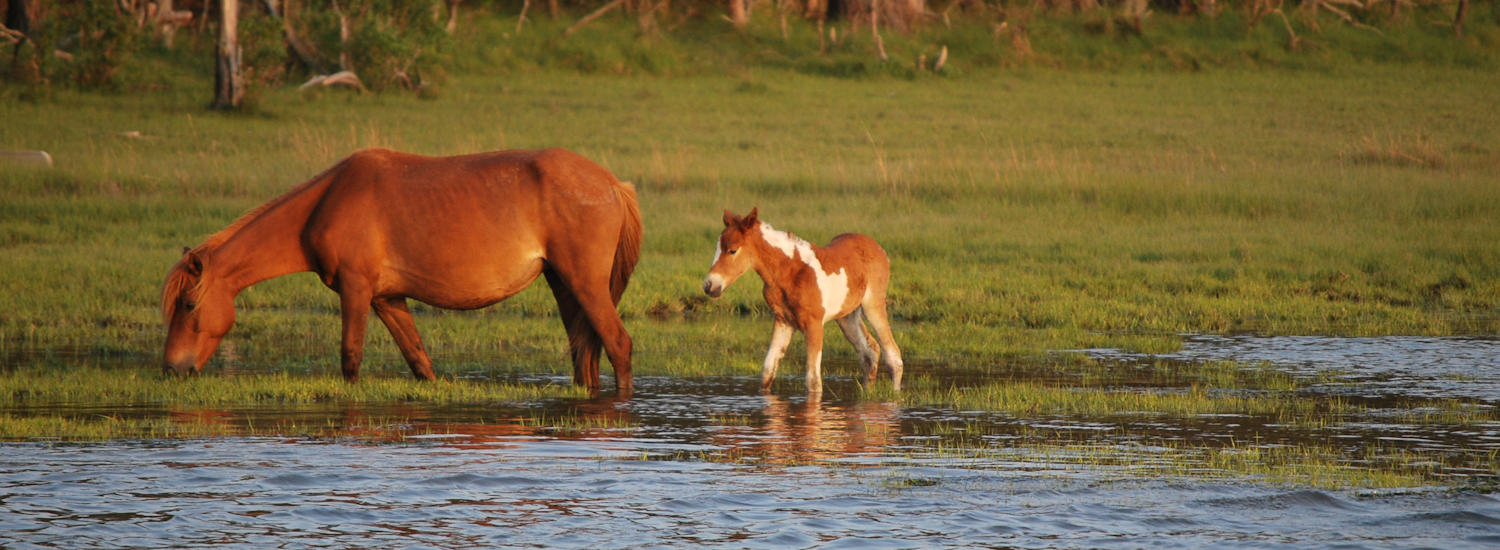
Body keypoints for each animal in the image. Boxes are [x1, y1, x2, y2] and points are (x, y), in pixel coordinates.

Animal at [161, 147, 642, 392]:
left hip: (585, 284)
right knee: (583, 351)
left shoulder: (356, 290)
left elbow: (350, 359)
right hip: (563, 284)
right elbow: (419, 362)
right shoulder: (387, 298)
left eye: (189, 305)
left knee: (618, 345)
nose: (171, 369)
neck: (328, 201)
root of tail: (612, 183)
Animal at [702, 208, 900, 395]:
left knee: (893, 354)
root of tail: (878, 248)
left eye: (732, 250)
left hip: (872, 305)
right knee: (869, 352)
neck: (789, 273)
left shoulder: (814, 324)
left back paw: (895, 396)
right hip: (847, 316)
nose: (709, 285)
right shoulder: (783, 321)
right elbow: (767, 372)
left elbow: (813, 381)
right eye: (717, 249)